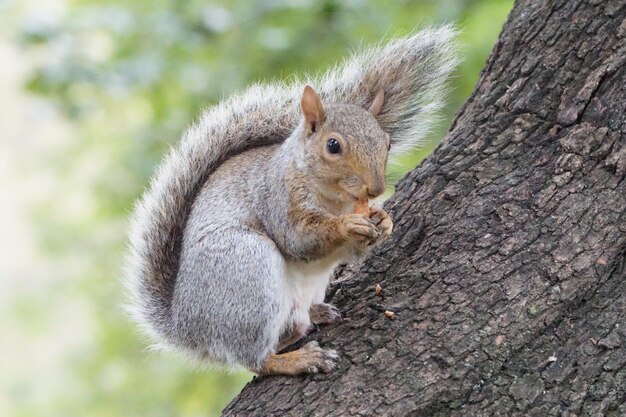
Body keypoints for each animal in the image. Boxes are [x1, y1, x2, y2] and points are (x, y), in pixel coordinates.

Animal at [124, 27, 456, 376]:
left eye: (387, 142)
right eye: (333, 145)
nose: (376, 188)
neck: (334, 199)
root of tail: (188, 327)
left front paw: (383, 220)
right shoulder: (278, 199)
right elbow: (299, 239)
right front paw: (346, 225)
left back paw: (316, 315)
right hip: (247, 267)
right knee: (255, 360)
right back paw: (297, 359)